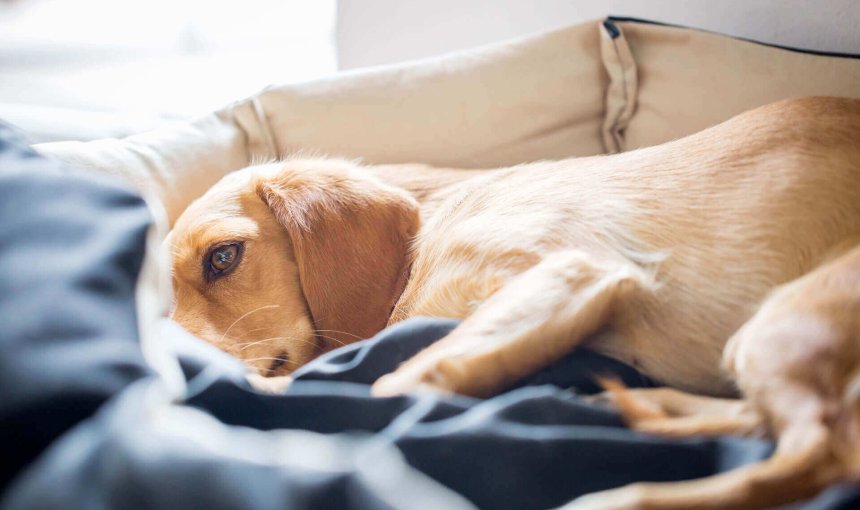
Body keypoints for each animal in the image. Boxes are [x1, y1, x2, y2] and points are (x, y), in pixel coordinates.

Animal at [168, 97, 860, 508]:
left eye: (223, 257)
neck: (430, 228)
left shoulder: (569, 273)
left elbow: (390, 381)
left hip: (777, 328)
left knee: (813, 453)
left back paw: (618, 497)